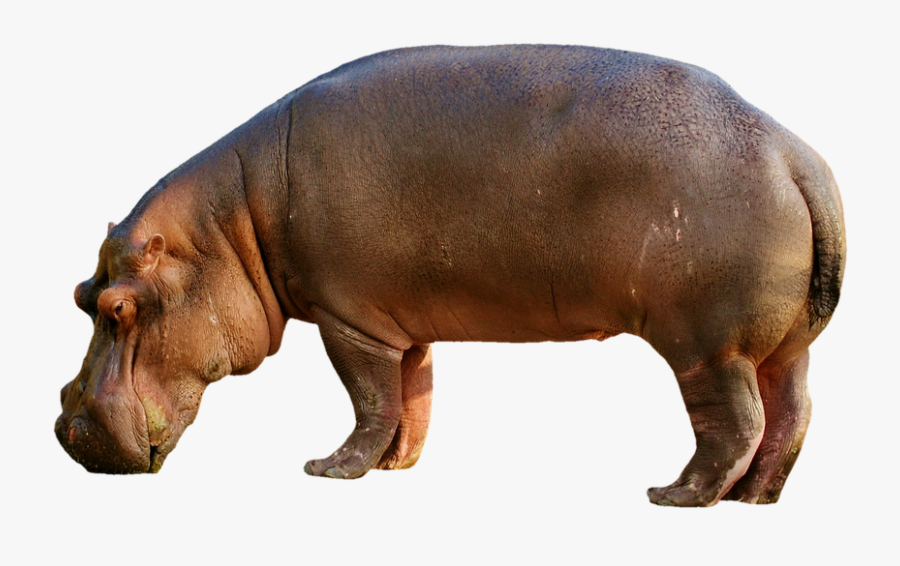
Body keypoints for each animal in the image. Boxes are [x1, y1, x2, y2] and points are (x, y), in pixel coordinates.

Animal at [56, 45, 844, 506]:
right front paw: (393, 470)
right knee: (792, 415)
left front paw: (330, 472)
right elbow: (412, 397)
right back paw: (756, 501)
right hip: (784, 346)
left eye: (119, 308)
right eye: (79, 295)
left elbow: (369, 398)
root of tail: (794, 153)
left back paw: (676, 496)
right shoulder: (399, 322)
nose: (67, 430)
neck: (231, 224)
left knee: (733, 423)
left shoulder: (349, 319)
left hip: (708, 345)